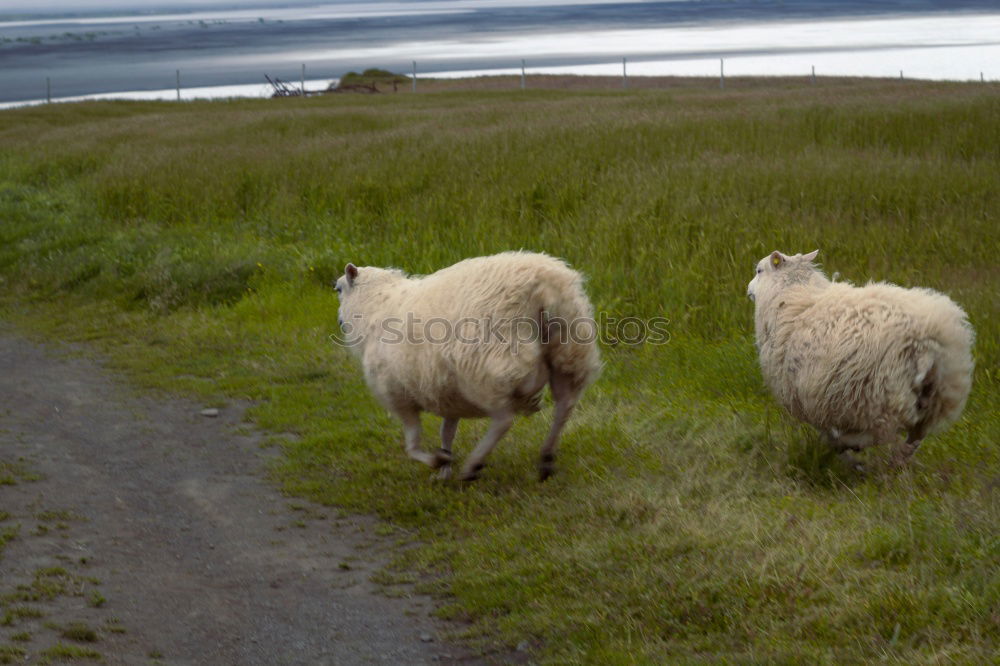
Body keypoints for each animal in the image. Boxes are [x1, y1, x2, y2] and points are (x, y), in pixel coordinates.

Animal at [334, 249, 600, 478]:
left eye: (337, 289)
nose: (338, 322)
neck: (373, 307)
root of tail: (545, 287)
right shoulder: (447, 393)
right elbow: (447, 432)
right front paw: (444, 468)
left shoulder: (396, 394)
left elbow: (412, 443)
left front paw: (438, 461)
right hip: (571, 351)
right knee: (564, 406)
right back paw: (546, 459)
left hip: (486, 369)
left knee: (503, 420)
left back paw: (473, 466)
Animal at [748, 249, 972, 462]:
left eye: (759, 270)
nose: (748, 289)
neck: (790, 294)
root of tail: (926, 342)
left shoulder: (811, 395)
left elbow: (826, 430)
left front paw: (838, 449)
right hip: (938, 396)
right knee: (913, 439)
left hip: (881, 395)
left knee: (883, 434)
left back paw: (854, 447)